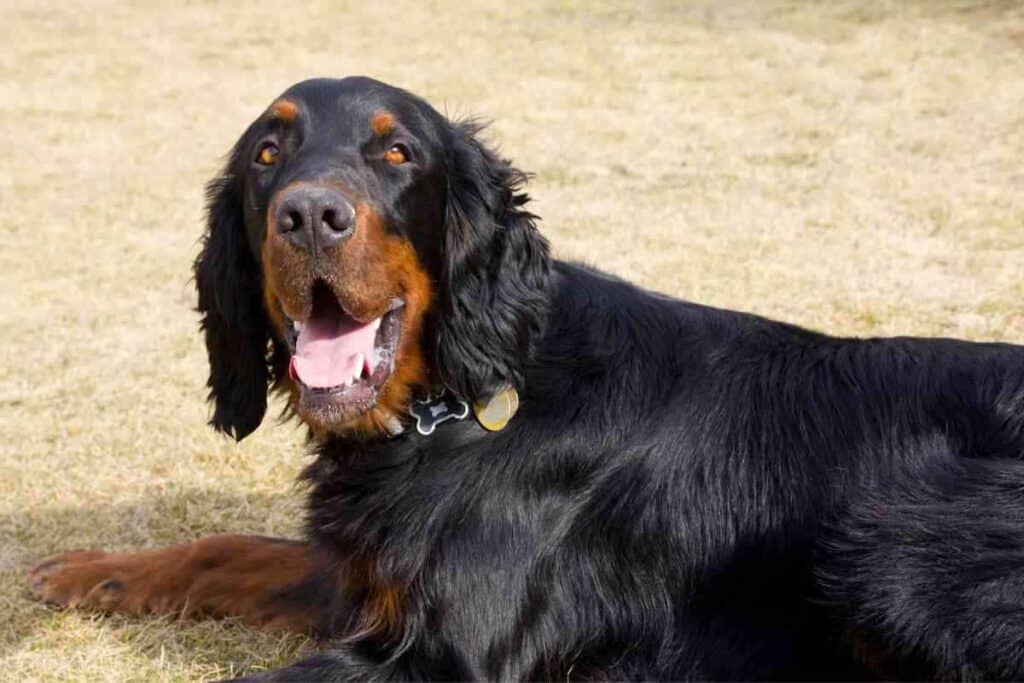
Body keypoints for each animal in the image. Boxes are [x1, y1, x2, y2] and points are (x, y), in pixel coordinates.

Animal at [25, 77, 1024, 679]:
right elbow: (232, 547)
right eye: (267, 154)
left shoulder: (447, 656)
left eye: (398, 153)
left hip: (891, 539)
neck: (462, 401)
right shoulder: (378, 587)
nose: (308, 216)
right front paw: (91, 571)